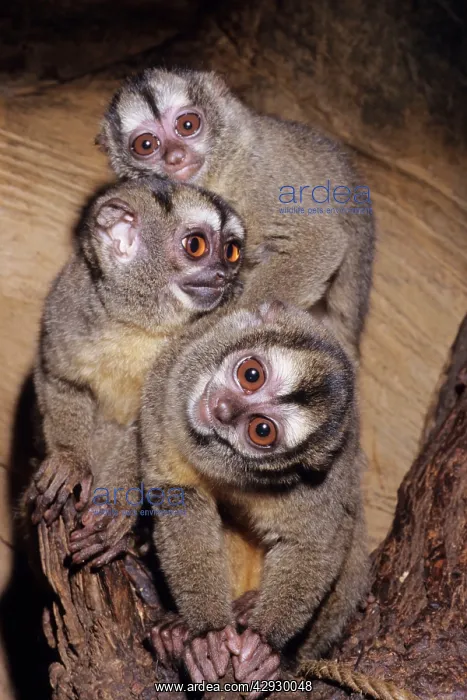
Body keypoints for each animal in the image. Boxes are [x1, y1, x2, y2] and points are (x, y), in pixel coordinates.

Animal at [22, 175, 246, 567]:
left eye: (231, 251)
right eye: (196, 245)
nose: (223, 275)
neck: (140, 326)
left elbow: (155, 431)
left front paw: (113, 510)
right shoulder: (68, 301)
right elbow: (58, 376)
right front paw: (69, 462)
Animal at [98, 68, 375, 362]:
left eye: (187, 125)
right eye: (146, 144)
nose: (175, 157)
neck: (218, 174)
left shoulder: (260, 175)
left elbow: (319, 239)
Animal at [140, 301, 369, 686]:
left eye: (261, 430)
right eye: (251, 375)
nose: (223, 409)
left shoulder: (322, 480)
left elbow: (317, 544)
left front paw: (264, 643)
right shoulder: (165, 390)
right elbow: (180, 498)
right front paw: (208, 635)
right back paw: (174, 633)